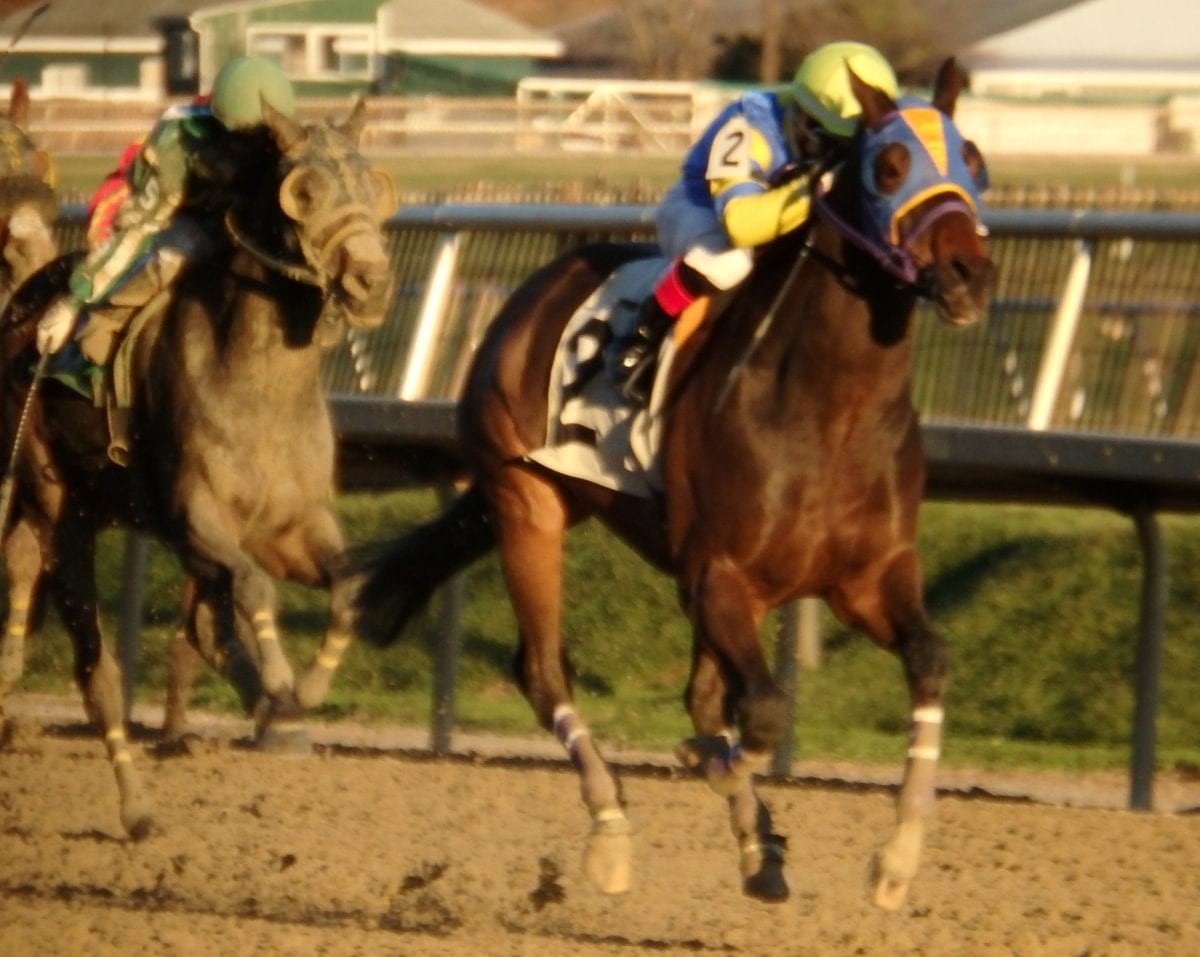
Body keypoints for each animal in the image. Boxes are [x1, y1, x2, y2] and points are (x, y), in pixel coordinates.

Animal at [0, 99, 396, 839]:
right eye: (304, 192)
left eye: (372, 184)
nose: (372, 283)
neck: (261, 384)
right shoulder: (195, 520)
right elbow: (253, 587)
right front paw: (281, 683)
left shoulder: (293, 524)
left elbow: (347, 588)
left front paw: (302, 692)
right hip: (57, 508)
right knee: (97, 670)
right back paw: (136, 805)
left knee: (200, 629)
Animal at [350, 59, 998, 906]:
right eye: (888, 167)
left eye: (975, 161)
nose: (967, 274)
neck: (833, 407)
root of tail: (533, 290)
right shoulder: (717, 575)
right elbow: (762, 712)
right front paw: (708, 768)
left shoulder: (866, 579)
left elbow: (926, 662)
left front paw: (895, 855)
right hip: (527, 504)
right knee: (544, 671)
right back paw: (612, 829)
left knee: (697, 692)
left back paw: (755, 843)